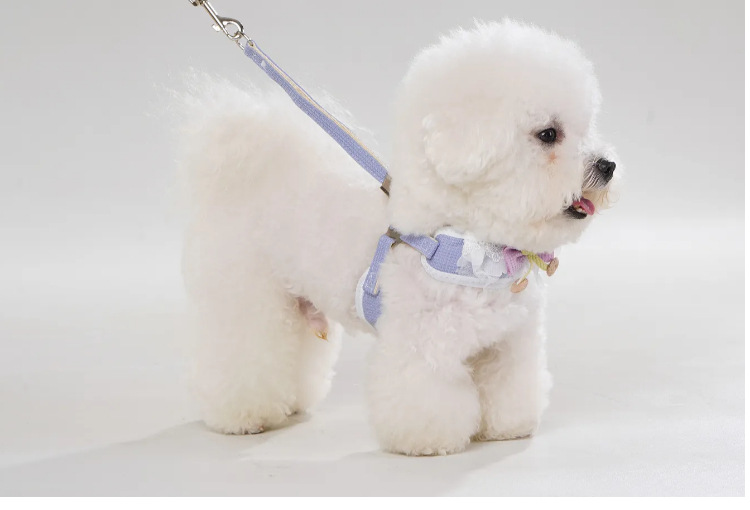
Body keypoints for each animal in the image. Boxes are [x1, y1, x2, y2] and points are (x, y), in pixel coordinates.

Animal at [179, 19, 618, 456]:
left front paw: (507, 427)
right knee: (243, 350)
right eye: (548, 134)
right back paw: (244, 414)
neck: (468, 245)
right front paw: (429, 441)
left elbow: (510, 385)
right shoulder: (423, 345)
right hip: (247, 295)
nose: (608, 165)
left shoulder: (509, 343)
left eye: (587, 126)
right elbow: (424, 395)